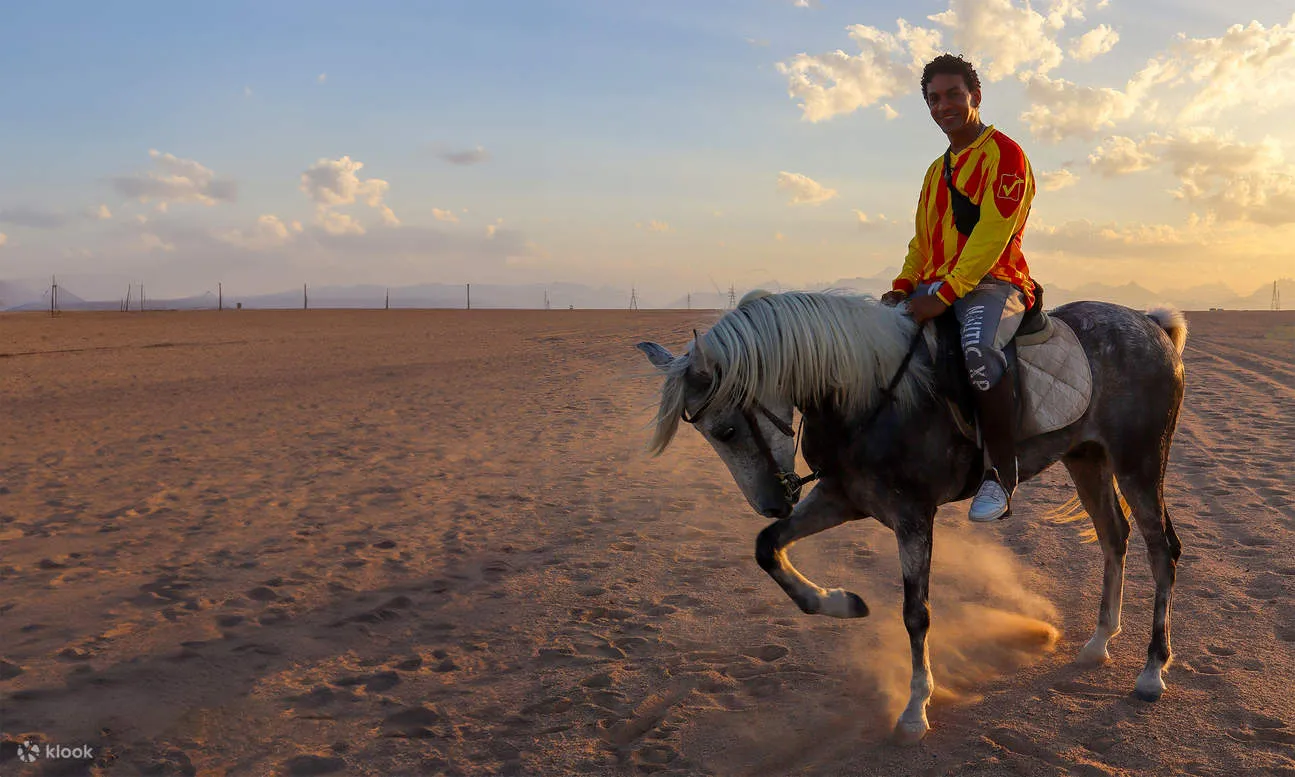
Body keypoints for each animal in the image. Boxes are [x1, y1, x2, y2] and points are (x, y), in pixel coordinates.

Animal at [636, 290, 1187, 742]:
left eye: (726, 430)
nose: (774, 500)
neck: (867, 394)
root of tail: (1151, 324)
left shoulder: (914, 515)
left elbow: (915, 614)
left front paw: (914, 709)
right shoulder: (841, 498)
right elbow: (767, 546)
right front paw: (840, 603)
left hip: (1139, 463)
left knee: (1162, 550)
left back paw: (1152, 670)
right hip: (1086, 458)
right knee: (1113, 537)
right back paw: (1099, 641)